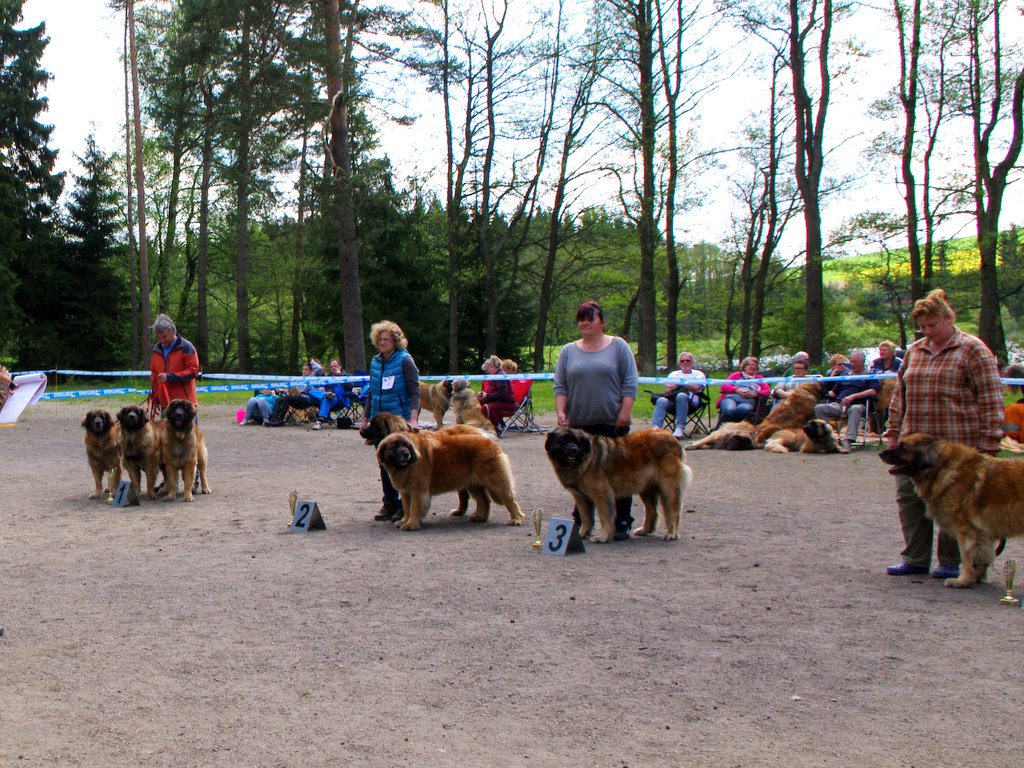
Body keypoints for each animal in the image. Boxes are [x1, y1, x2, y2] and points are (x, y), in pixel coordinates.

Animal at [376, 427, 523, 531]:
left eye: (406, 445)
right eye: (394, 446)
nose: (406, 454)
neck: (405, 467)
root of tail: (490, 441)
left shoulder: (417, 489)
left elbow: (414, 507)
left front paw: (411, 524)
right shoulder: (405, 491)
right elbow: (406, 508)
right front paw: (404, 520)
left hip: (496, 482)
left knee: (510, 500)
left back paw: (516, 519)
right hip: (473, 484)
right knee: (484, 501)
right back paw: (480, 517)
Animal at [544, 427, 692, 543]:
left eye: (577, 441)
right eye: (563, 440)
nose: (574, 450)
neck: (586, 459)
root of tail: (671, 437)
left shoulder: (602, 494)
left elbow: (605, 517)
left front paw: (602, 537)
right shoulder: (580, 497)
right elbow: (586, 518)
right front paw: (581, 534)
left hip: (668, 487)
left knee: (673, 511)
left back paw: (671, 534)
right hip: (646, 487)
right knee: (652, 510)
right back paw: (644, 530)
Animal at [879, 433, 1024, 588]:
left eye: (903, 447)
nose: (880, 453)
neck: (941, 467)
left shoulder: (965, 530)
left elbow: (966, 557)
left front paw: (962, 581)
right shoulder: (982, 534)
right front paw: (976, 578)